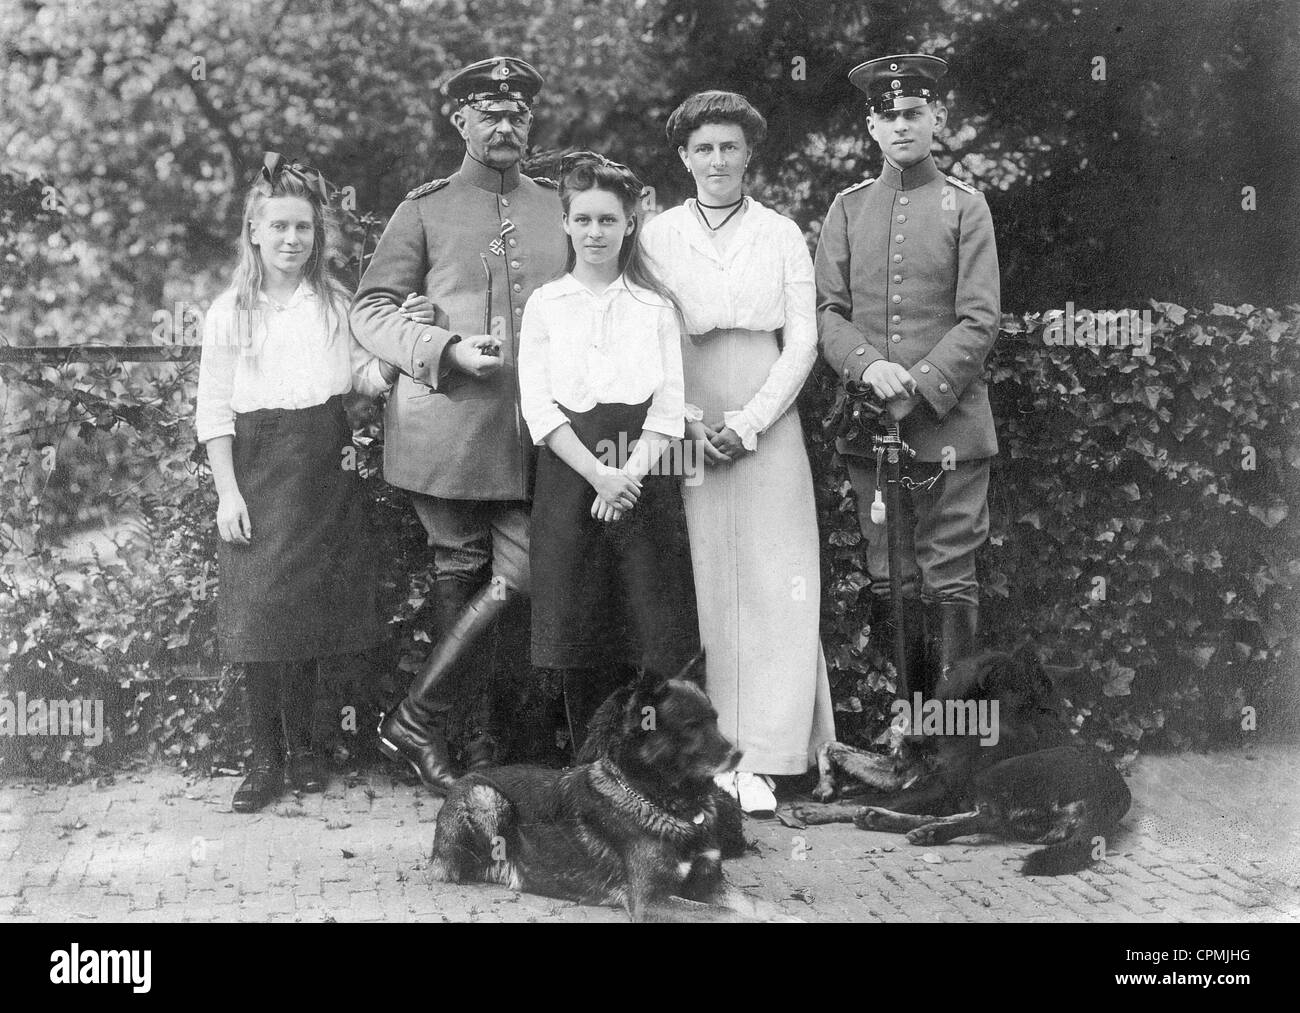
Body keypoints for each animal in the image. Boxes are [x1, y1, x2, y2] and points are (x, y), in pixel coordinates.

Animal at [426, 660, 790, 920]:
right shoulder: (653, 900)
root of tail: (467, 777)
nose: (740, 754)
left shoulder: (710, 883)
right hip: (487, 798)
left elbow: (760, 905)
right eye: (691, 726)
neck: (664, 802)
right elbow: (728, 915)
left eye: (715, 719)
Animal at [785, 644, 1133, 873]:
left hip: (997, 775)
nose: (912, 733)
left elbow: (853, 798)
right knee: (967, 817)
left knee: (988, 816)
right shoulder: (901, 772)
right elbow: (829, 744)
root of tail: (1113, 795)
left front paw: (816, 810)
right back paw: (895, 822)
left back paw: (908, 826)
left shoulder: (938, 785)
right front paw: (826, 784)